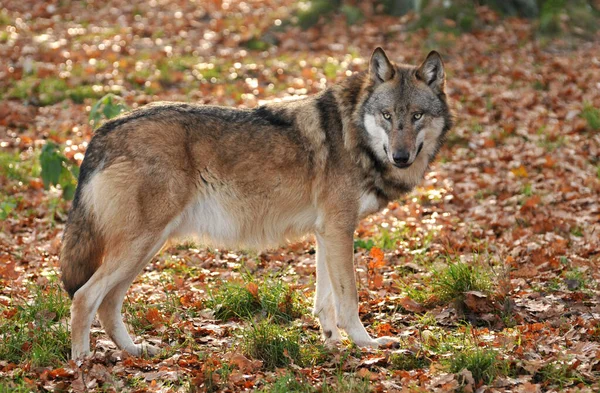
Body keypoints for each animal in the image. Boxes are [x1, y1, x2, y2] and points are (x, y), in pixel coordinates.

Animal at [61, 46, 452, 358]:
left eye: (416, 115)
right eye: (388, 116)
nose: (401, 157)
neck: (352, 133)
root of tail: (103, 131)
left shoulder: (326, 233)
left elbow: (325, 302)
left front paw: (332, 344)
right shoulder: (339, 229)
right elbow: (349, 298)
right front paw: (366, 344)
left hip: (147, 247)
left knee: (108, 303)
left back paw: (135, 351)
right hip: (140, 244)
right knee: (84, 297)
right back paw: (83, 364)